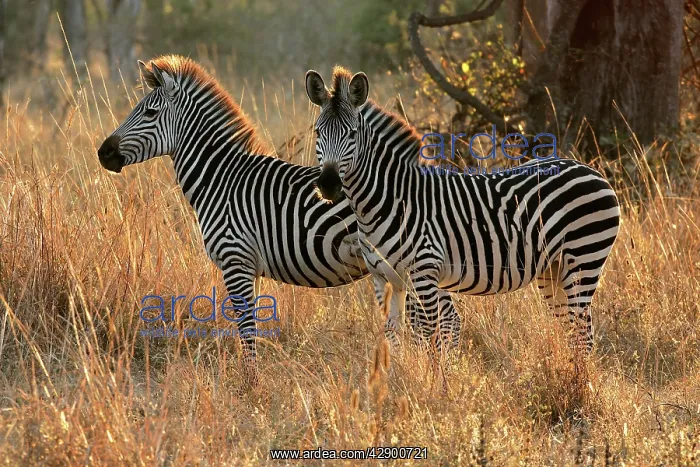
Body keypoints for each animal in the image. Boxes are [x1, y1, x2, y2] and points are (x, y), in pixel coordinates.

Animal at [97, 56, 459, 383]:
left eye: (149, 112)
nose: (103, 153)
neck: (221, 179)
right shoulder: (249, 267)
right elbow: (250, 325)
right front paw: (249, 378)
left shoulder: (235, 260)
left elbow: (246, 327)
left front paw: (251, 386)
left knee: (444, 320)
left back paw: (434, 380)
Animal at [305, 67, 620, 354]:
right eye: (318, 132)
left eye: (352, 134)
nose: (329, 185)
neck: (384, 202)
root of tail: (592, 170)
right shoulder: (384, 279)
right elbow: (393, 337)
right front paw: (398, 378)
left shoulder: (424, 273)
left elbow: (429, 337)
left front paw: (433, 379)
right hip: (553, 270)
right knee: (572, 330)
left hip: (584, 259)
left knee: (583, 331)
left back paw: (578, 378)